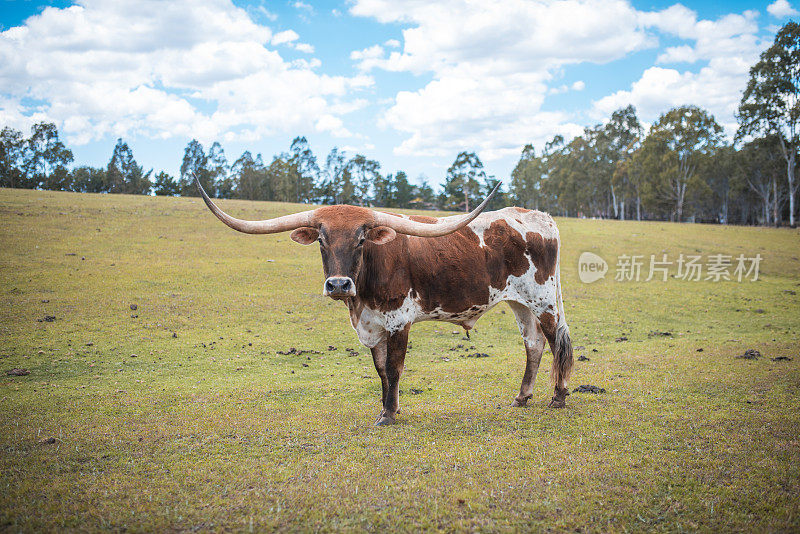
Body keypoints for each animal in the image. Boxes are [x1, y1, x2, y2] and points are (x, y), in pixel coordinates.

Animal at [195, 180, 568, 428]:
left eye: (361, 239)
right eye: (321, 239)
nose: (338, 284)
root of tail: (540, 217)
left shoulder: (398, 321)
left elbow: (394, 367)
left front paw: (388, 414)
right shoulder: (371, 325)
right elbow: (380, 369)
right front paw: (391, 406)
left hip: (543, 300)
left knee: (556, 341)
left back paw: (559, 397)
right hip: (520, 303)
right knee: (533, 344)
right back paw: (522, 397)